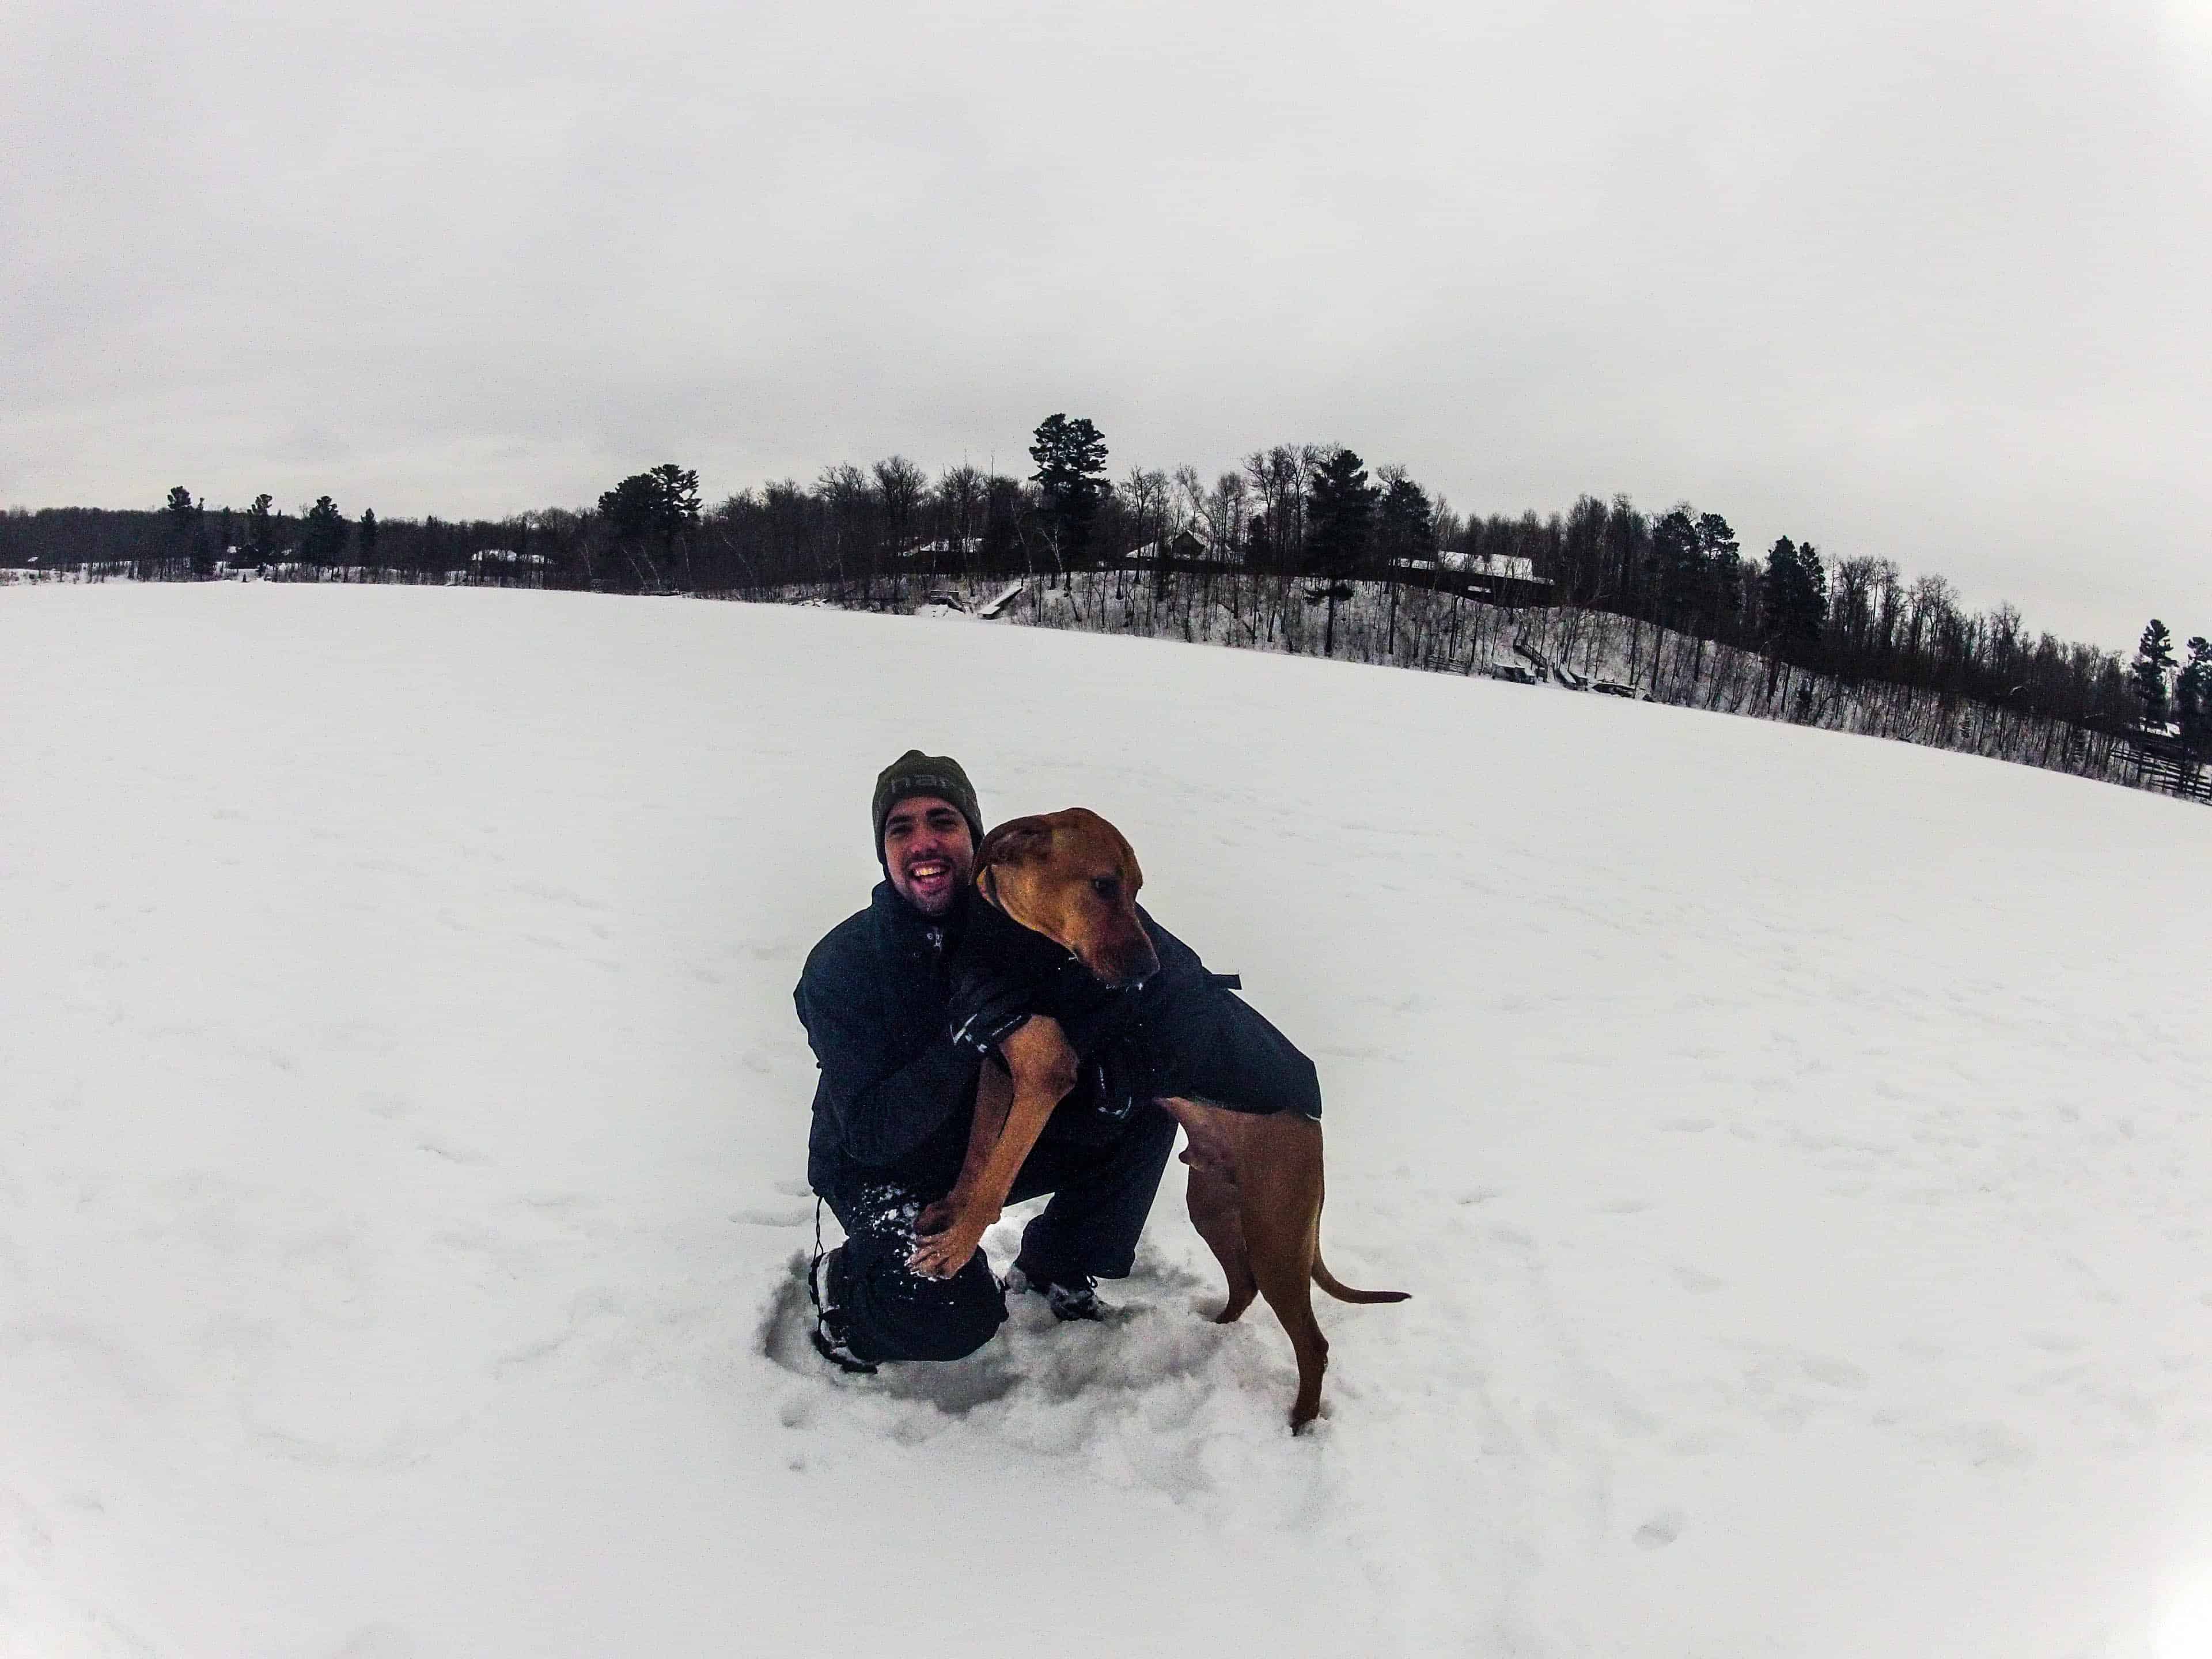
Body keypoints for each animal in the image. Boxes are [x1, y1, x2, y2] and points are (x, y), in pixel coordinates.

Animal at [907, 814, 1407, 1433]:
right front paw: (953, 1213)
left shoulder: (1044, 1078)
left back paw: (1299, 1423)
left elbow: (997, 1172)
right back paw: (1211, 1334)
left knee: (1311, 1342)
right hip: (1213, 1205)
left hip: (1277, 1236)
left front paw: (955, 1247)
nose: (1149, 971)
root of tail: (1314, 1131)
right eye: (1103, 885)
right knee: (1243, 1286)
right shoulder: (997, 1063)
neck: (1016, 938)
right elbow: (979, 1154)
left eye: (1136, 890)